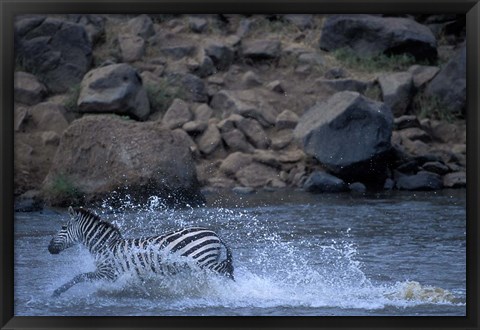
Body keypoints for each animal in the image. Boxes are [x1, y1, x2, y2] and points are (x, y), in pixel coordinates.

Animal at [48, 206, 234, 296]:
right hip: (206, 261)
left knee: (225, 271)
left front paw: (57, 292)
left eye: (63, 227)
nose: (49, 248)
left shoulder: (108, 272)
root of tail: (215, 234)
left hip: (202, 260)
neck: (105, 246)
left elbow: (79, 277)